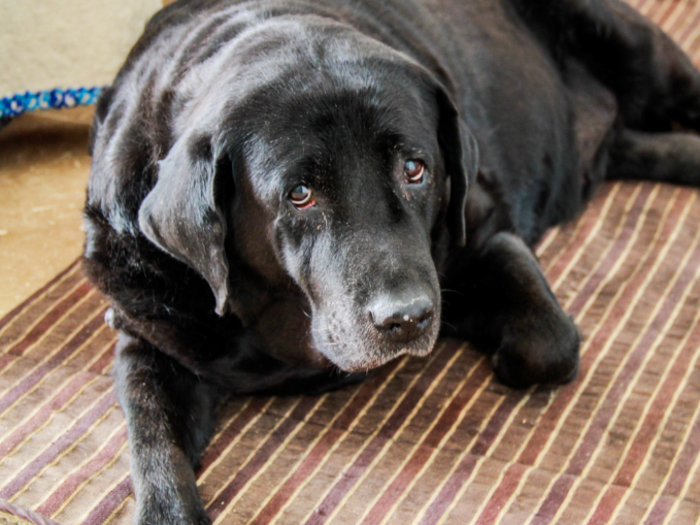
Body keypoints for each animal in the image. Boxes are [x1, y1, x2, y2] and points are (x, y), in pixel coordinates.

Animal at [83, 1, 700, 520]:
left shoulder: (482, 228)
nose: (407, 318)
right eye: (300, 193)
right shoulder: (148, 334)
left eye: (414, 168)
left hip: (637, 50)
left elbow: (549, 343)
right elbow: (153, 443)